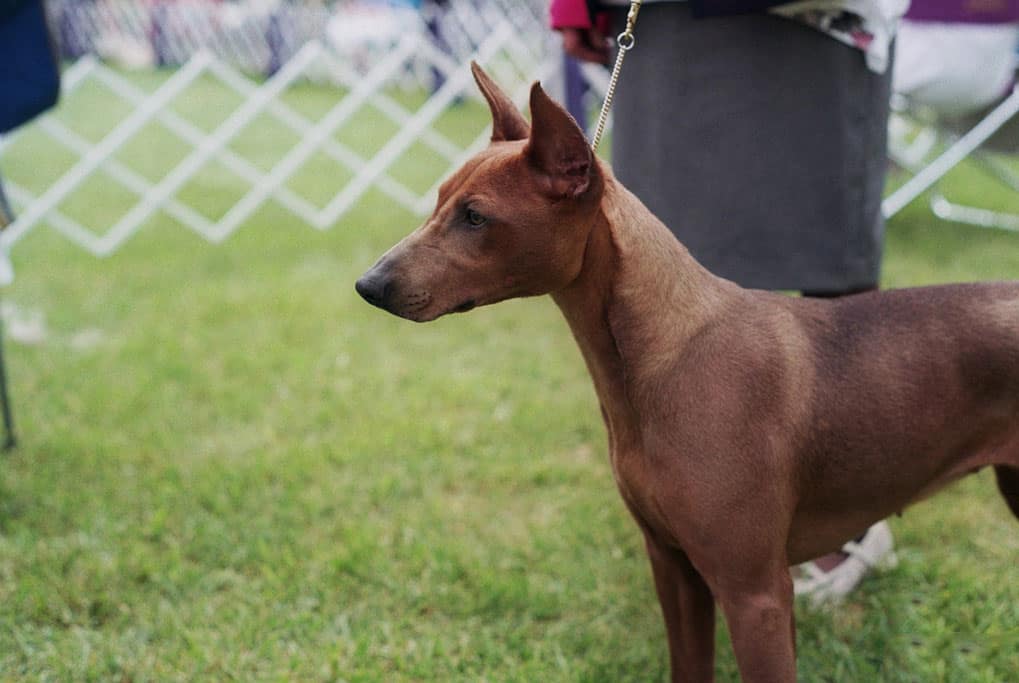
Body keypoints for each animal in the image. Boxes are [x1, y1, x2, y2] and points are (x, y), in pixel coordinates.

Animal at [352, 62, 1019, 680]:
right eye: (440, 201)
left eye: (475, 218)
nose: (368, 285)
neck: (663, 359)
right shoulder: (674, 569)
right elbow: (688, 663)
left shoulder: (756, 595)